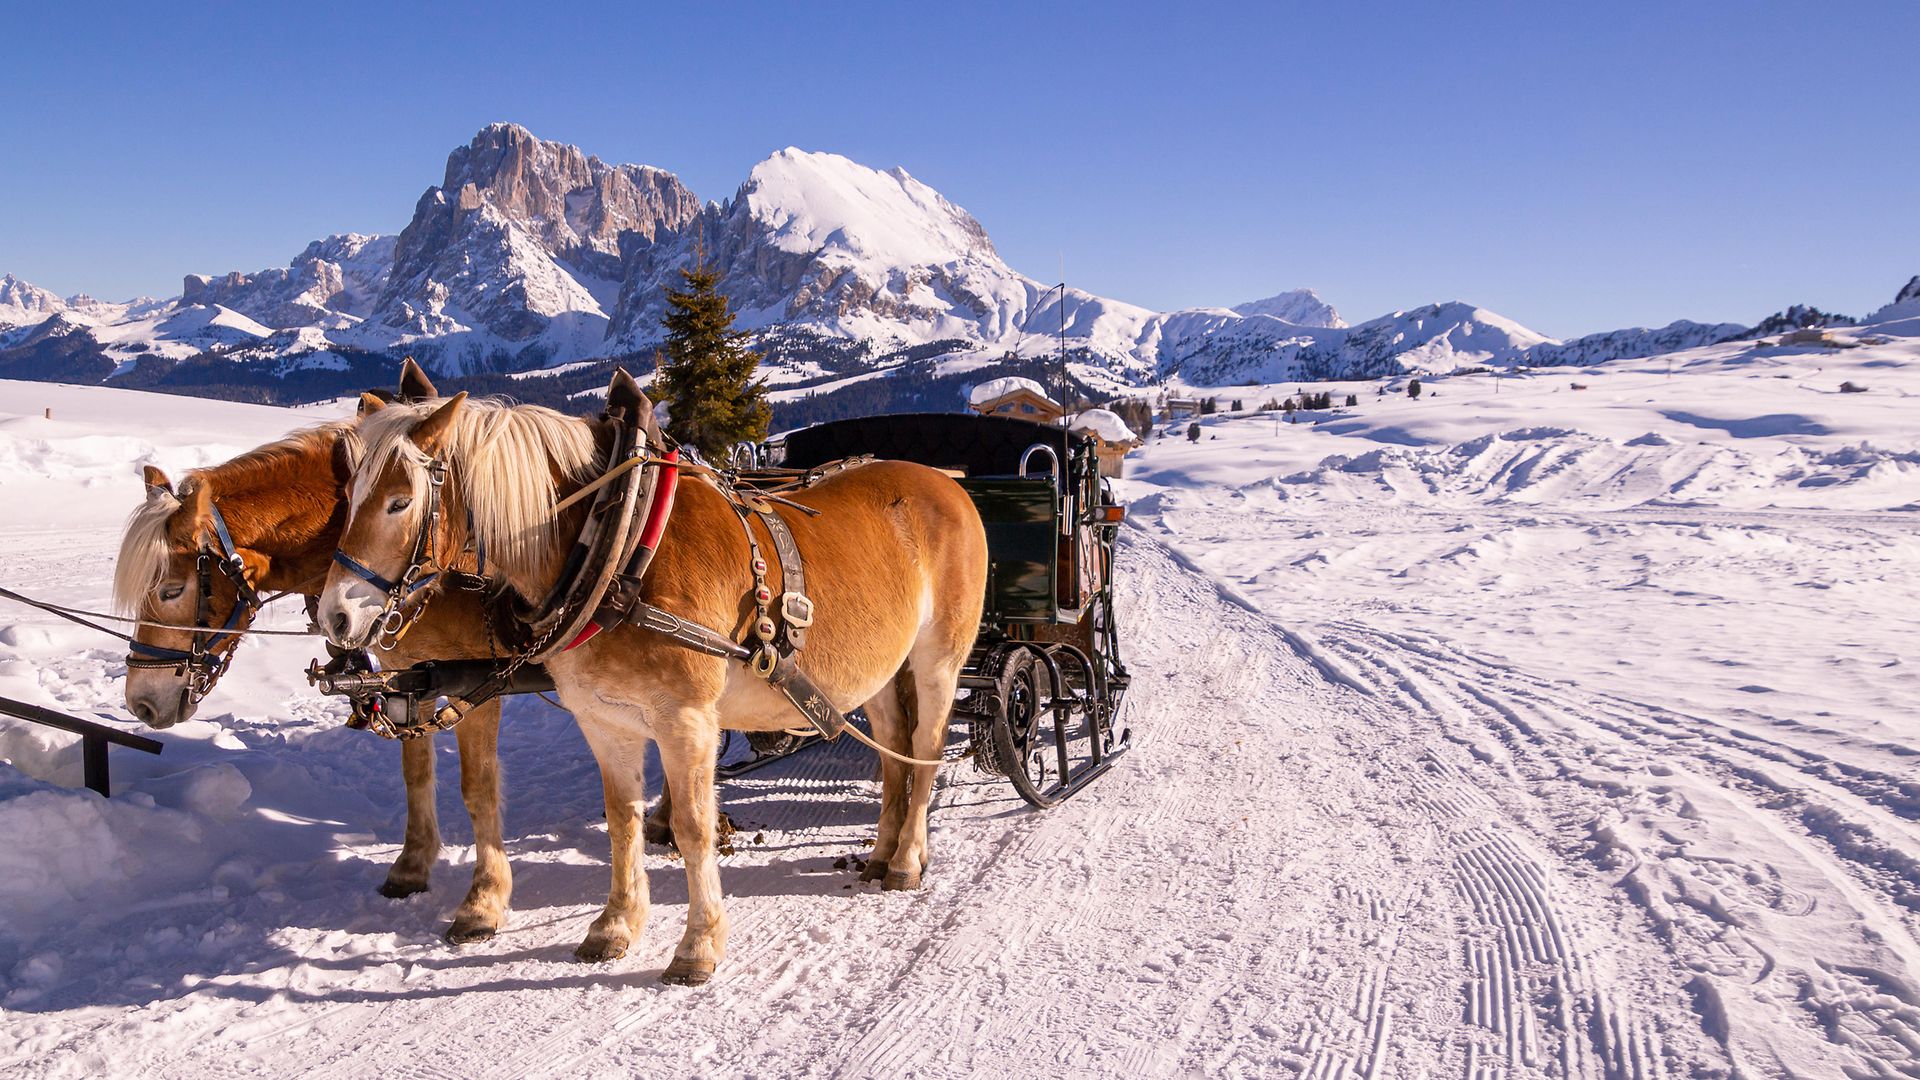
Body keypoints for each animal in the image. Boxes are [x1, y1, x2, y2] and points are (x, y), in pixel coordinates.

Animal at [114, 365, 518, 943]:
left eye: (171, 590)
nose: (141, 702)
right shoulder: (409, 674)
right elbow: (416, 772)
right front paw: (411, 866)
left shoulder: (479, 680)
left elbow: (478, 787)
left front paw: (484, 900)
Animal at [319, 393, 988, 983]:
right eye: (347, 496)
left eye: (400, 502)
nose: (336, 618)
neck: (617, 551)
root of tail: (947, 483)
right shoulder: (604, 719)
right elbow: (623, 820)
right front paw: (616, 925)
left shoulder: (685, 719)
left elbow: (693, 827)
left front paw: (698, 945)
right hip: (876, 669)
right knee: (893, 747)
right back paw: (881, 852)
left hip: (939, 658)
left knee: (925, 749)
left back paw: (906, 859)